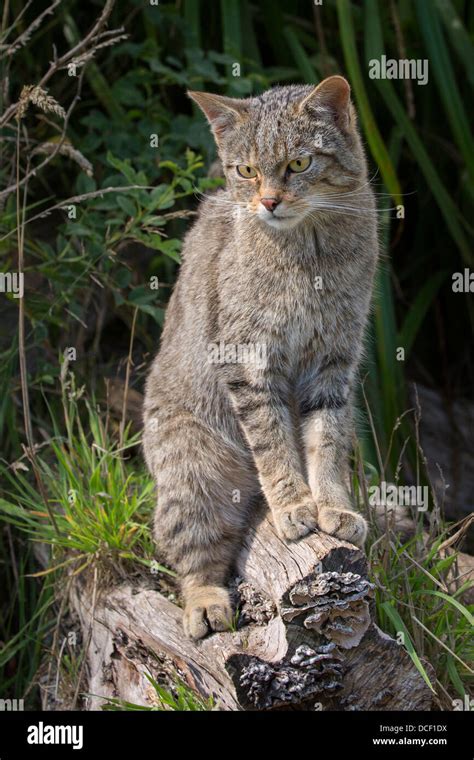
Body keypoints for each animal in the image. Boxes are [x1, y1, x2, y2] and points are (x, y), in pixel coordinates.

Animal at [143, 77, 380, 640]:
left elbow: (326, 441)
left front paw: (332, 505)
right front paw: (293, 505)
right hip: (191, 471)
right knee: (195, 556)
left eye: (299, 163)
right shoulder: (248, 360)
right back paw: (205, 603)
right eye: (246, 170)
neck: (309, 253)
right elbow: (273, 442)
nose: (269, 201)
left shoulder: (334, 362)